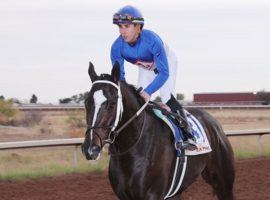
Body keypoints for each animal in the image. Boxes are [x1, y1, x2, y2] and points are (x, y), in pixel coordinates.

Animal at [81, 61, 235, 199]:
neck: (133, 147)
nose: (90, 148)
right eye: (86, 102)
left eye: (112, 104)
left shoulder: (153, 195)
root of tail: (214, 122)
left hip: (224, 183)